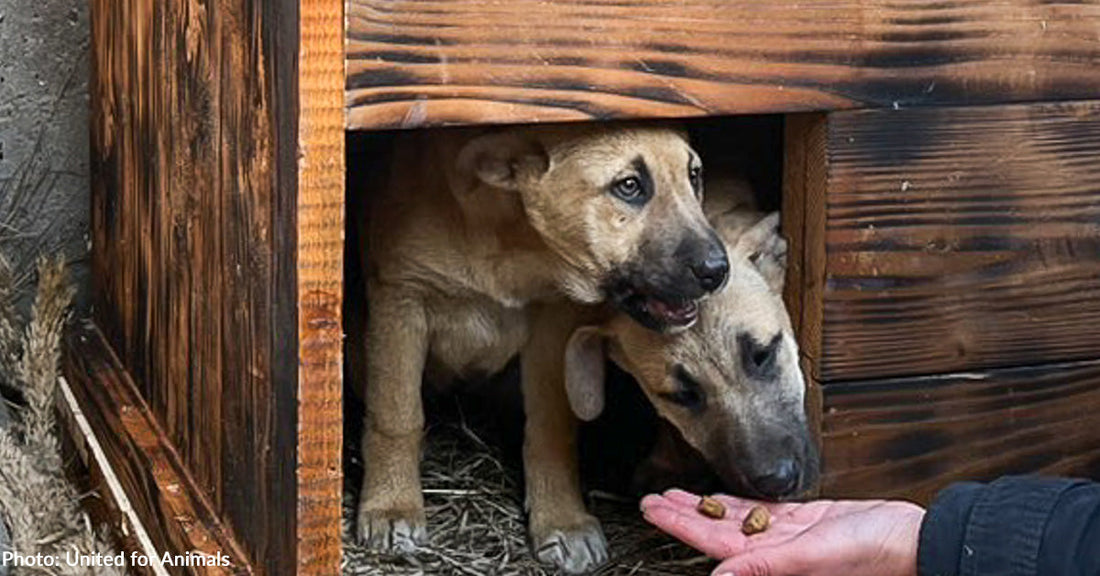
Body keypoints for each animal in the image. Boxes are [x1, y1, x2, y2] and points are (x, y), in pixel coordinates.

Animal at [356, 123, 726, 571]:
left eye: (694, 175)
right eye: (629, 186)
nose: (718, 270)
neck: (512, 236)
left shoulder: (554, 321)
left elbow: (551, 426)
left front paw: (562, 520)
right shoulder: (401, 300)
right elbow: (396, 416)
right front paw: (391, 505)